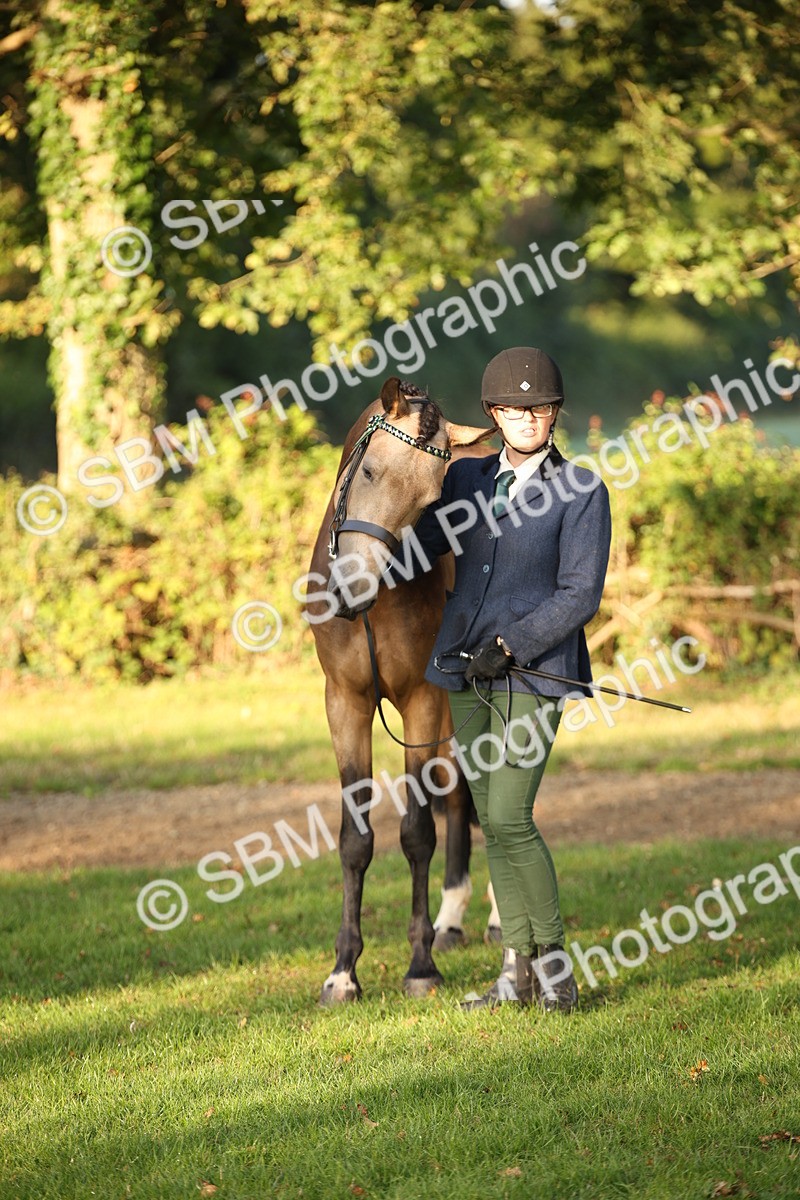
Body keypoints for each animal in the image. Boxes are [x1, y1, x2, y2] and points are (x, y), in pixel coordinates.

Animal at [305, 376, 496, 1004]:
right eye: (369, 472)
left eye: (431, 500)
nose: (353, 587)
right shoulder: (344, 702)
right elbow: (354, 838)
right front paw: (343, 972)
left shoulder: (421, 700)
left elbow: (415, 833)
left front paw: (420, 965)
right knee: (461, 793)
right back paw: (454, 921)